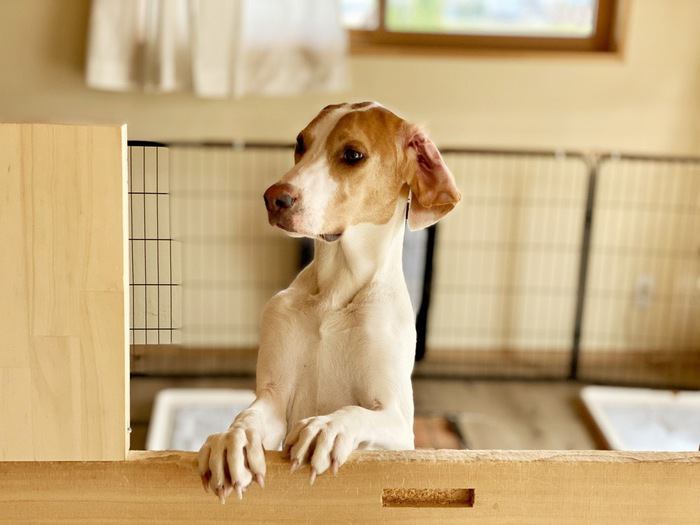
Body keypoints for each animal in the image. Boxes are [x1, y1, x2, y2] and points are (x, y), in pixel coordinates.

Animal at [197, 101, 462, 500]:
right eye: (300, 144)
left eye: (352, 155)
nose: (275, 198)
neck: (336, 293)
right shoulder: (274, 399)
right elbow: (249, 417)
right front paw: (233, 440)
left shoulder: (399, 425)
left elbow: (357, 412)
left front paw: (327, 428)